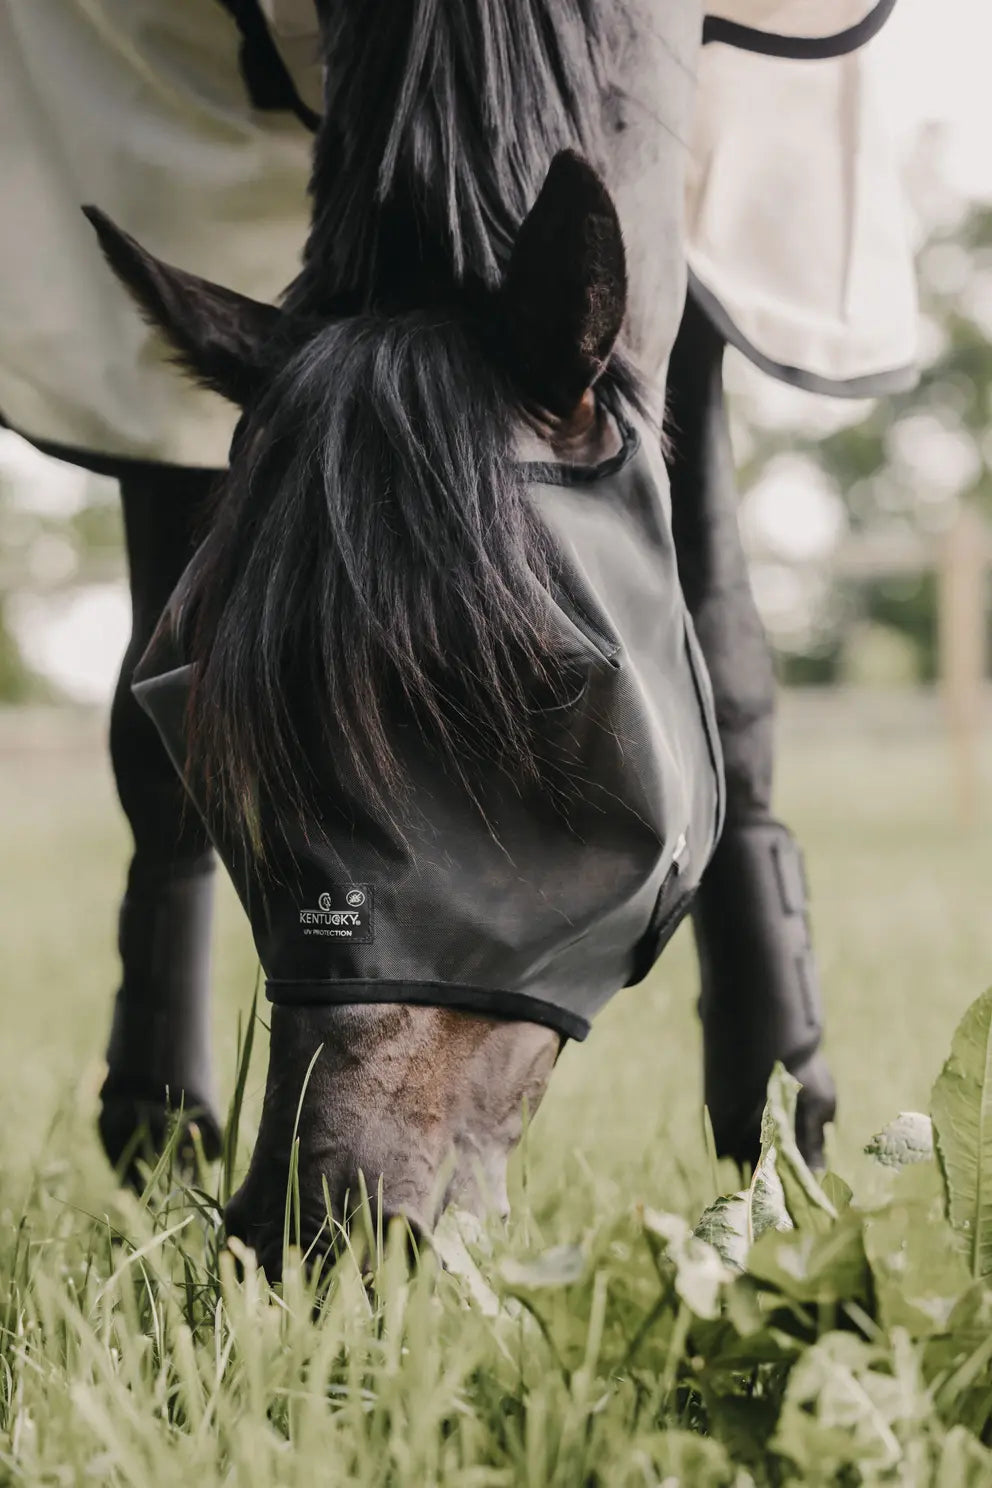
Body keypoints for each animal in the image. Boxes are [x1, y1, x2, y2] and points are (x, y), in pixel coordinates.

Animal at [63, 0, 838, 1267]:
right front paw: (157, 1138)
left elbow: (726, 667)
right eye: (203, 725)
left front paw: (782, 1130)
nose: (315, 1228)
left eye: (556, 701)